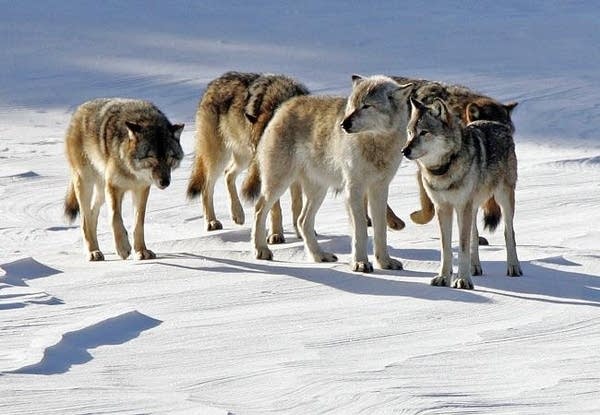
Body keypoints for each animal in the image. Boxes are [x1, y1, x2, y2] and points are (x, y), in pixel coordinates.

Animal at [63, 98, 184, 260]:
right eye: (152, 157)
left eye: (169, 157)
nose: (165, 182)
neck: (132, 171)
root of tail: (79, 109)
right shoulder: (114, 187)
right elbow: (115, 218)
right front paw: (123, 248)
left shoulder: (141, 189)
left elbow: (139, 223)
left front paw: (141, 251)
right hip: (85, 184)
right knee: (84, 220)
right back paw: (92, 251)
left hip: (101, 191)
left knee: (93, 214)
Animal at [186, 71, 310, 240]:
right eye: (259, 148)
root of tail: (211, 85)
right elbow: (275, 208)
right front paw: (276, 234)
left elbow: (297, 203)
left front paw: (300, 233)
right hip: (220, 158)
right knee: (207, 187)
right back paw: (212, 221)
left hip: (243, 158)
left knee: (228, 174)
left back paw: (237, 214)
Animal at [244, 75, 412, 272]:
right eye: (352, 106)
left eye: (367, 106)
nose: (344, 124)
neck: (376, 143)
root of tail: (283, 106)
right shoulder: (353, 190)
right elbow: (361, 231)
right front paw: (360, 263)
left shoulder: (380, 189)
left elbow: (381, 231)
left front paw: (384, 262)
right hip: (279, 184)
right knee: (259, 210)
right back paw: (261, 250)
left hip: (319, 191)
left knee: (302, 221)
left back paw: (319, 255)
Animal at [390, 77, 516, 245]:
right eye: (411, 132)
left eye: (509, 130)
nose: (404, 151)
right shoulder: (424, 175)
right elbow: (429, 212)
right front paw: (416, 217)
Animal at [400, 97, 524, 290]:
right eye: (410, 132)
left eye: (424, 132)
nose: (404, 151)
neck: (444, 169)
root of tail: (498, 124)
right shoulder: (443, 208)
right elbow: (446, 248)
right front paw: (443, 278)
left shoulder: (462, 206)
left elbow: (462, 247)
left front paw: (463, 280)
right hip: (472, 207)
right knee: (474, 234)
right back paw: (475, 268)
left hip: (503, 198)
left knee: (508, 233)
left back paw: (513, 267)